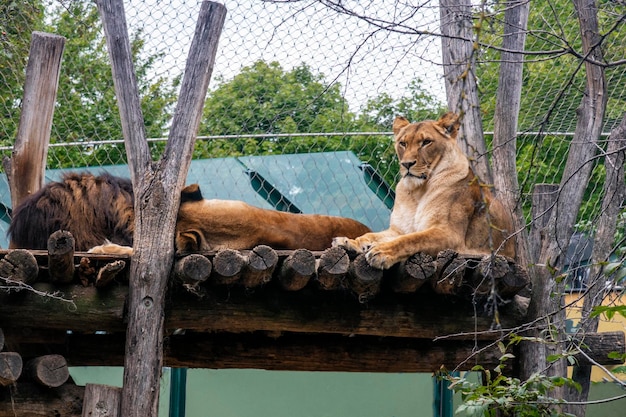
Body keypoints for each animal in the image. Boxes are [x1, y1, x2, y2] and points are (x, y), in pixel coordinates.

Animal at [334, 113, 516, 270]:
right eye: (403, 143)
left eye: (426, 142)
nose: (407, 164)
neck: (416, 191)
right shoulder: (397, 230)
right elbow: (370, 235)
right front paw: (349, 242)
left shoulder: (449, 233)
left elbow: (412, 239)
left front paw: (381, 251)